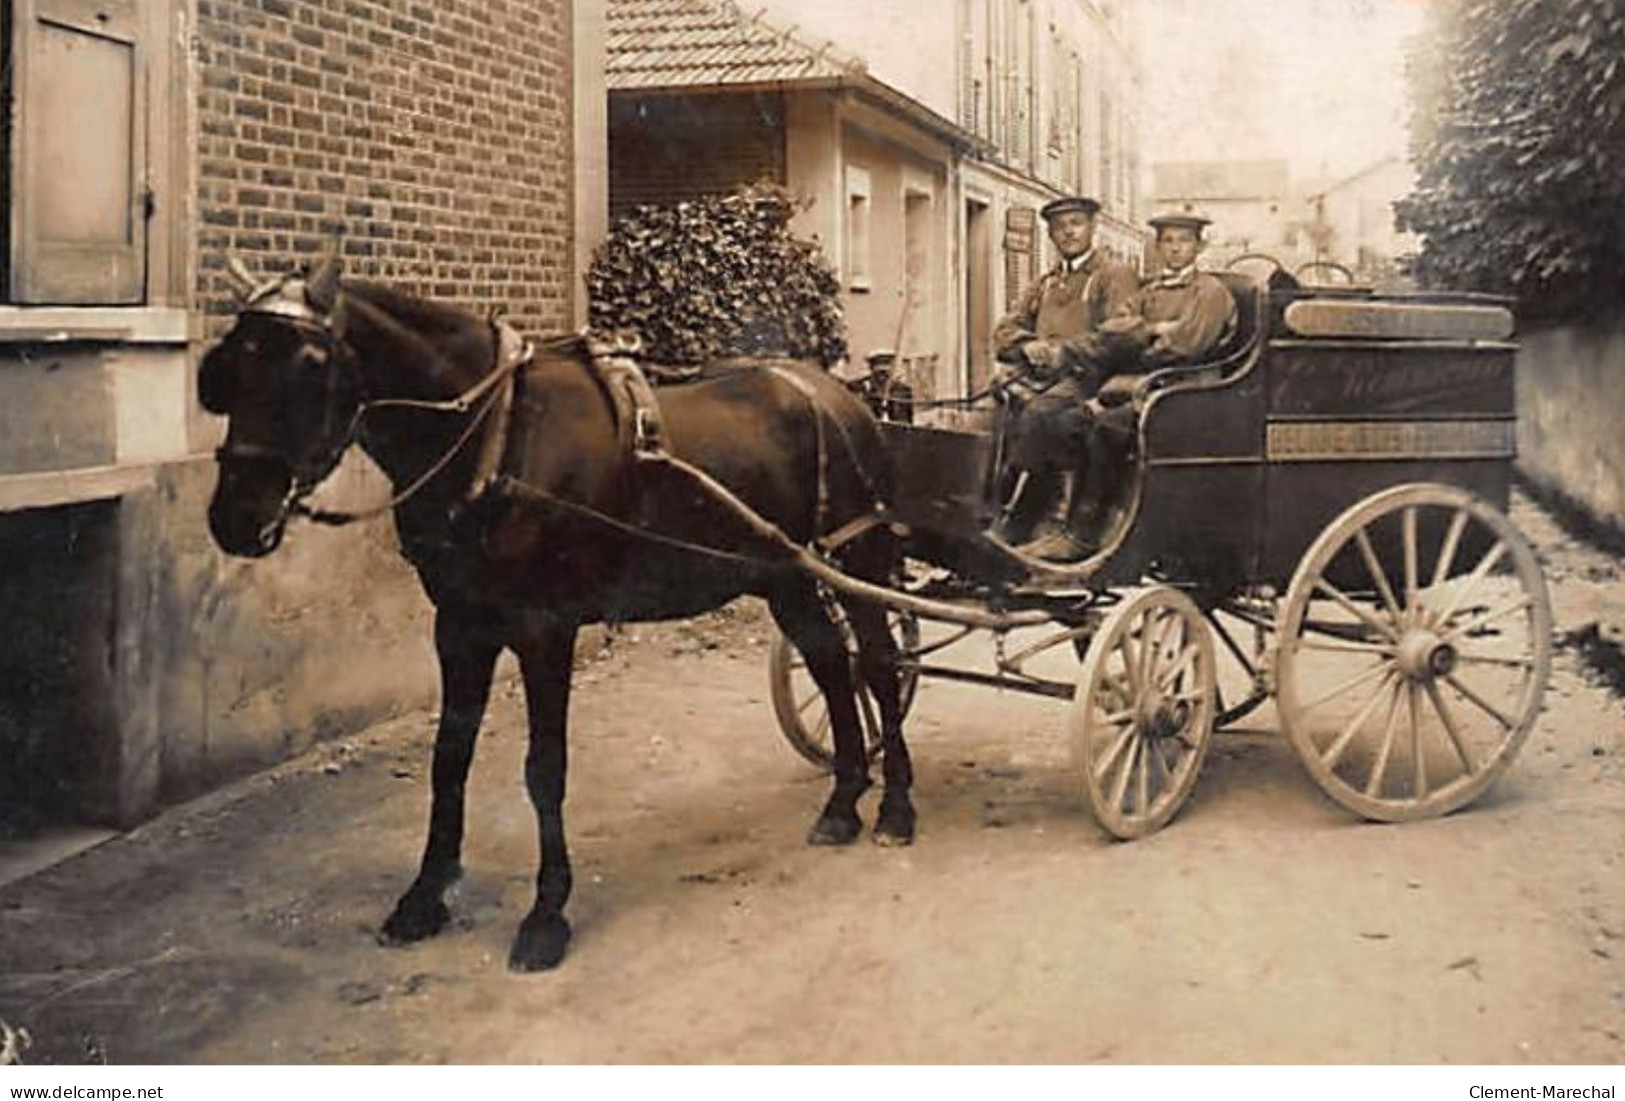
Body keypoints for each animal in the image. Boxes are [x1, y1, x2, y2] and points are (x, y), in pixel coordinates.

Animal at [196, 256, 916, 974]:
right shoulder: (459, 625)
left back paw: (895, 807)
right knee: (831, 661)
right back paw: (844, 798)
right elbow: (448, 758)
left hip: (855, 560)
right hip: (784, 575)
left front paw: (546, 914)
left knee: (880, 667)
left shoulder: (545, 629)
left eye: (312, 362)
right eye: (228, 366)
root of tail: (837, 392)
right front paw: (425, 895)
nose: (237, 515)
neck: (495, 437)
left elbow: (544, 768)